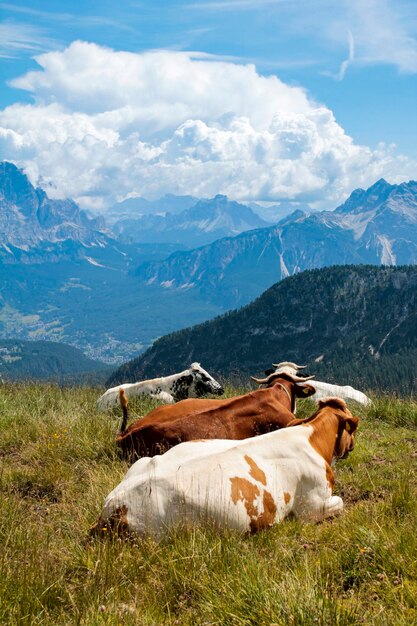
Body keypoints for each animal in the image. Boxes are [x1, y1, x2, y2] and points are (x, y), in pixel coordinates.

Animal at [93, 394, 358, 536]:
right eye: (352, 429)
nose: (352, 447)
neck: (312, 440)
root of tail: (113, 505)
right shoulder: (312, 507)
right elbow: (340, 503)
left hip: (144, 462)